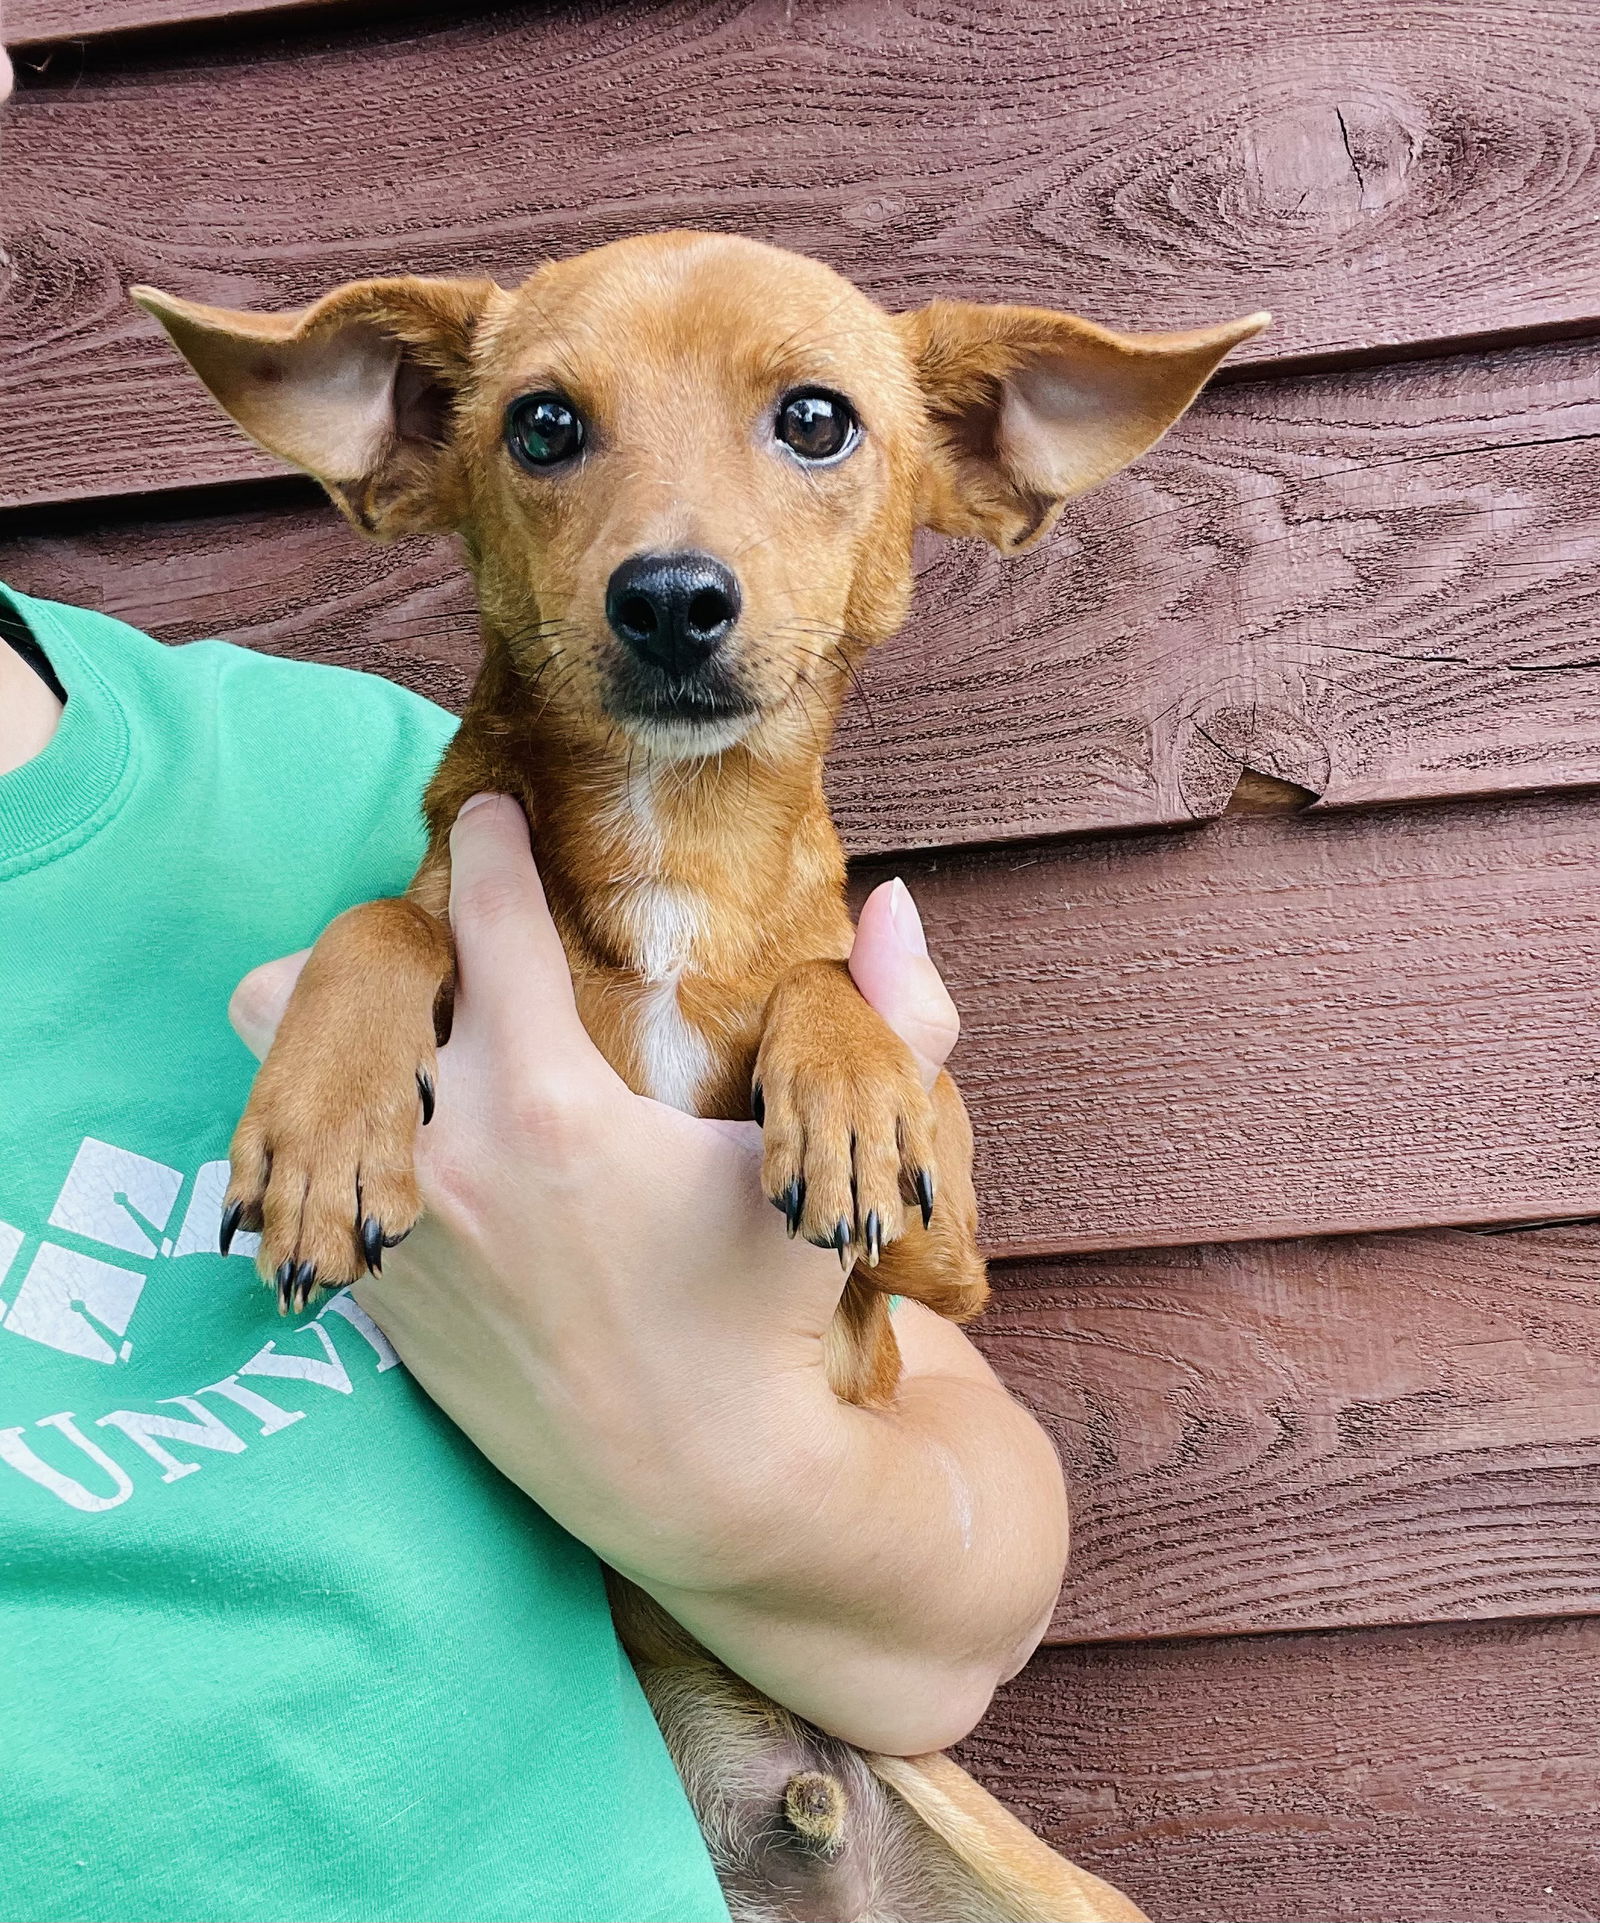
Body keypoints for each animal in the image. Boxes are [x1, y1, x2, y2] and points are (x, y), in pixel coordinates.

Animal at [137, 240, 1261, 1923]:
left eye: (816, 418)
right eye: (541, 425)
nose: (669, 595)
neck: (686, 846)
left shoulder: (942, 1271)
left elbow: (834, 982)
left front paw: (857, 1092)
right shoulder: (443, 896)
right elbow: (386, 913)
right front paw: (325, 1128)